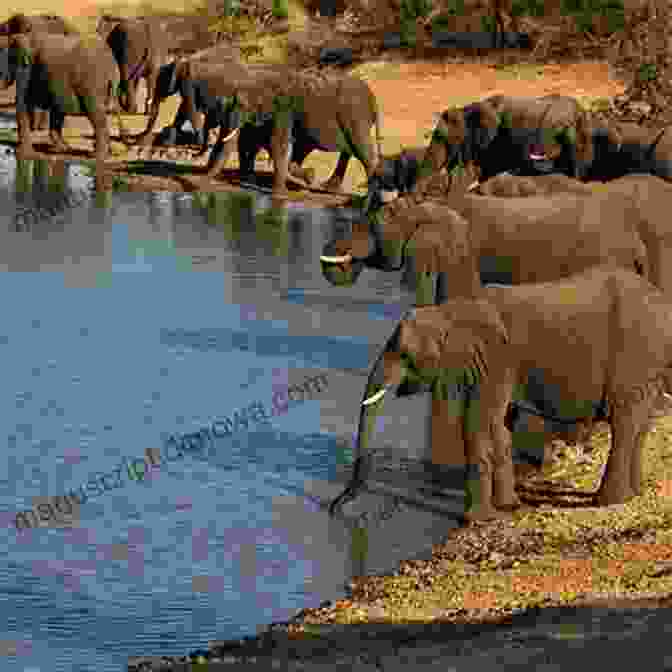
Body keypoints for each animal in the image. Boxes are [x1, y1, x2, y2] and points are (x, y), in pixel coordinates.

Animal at [0, 31, 125, 163]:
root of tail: (112, 65)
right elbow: (57, 108)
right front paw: (62, 148)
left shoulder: (26, 68)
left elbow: (23, 103)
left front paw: (24, 154)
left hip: (92, 85)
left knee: (96, 114)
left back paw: (96, 157)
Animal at [330, 266, 672, 520]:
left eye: (404, 354)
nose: (335, 508)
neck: (450, 313)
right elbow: (501, 426)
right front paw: (508, 508)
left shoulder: (494, 361)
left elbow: (478, 424)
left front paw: (477, 519)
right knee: (639, 425)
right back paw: (633, 495)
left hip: (635, 354)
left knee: (624, 423)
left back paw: (607, 502)